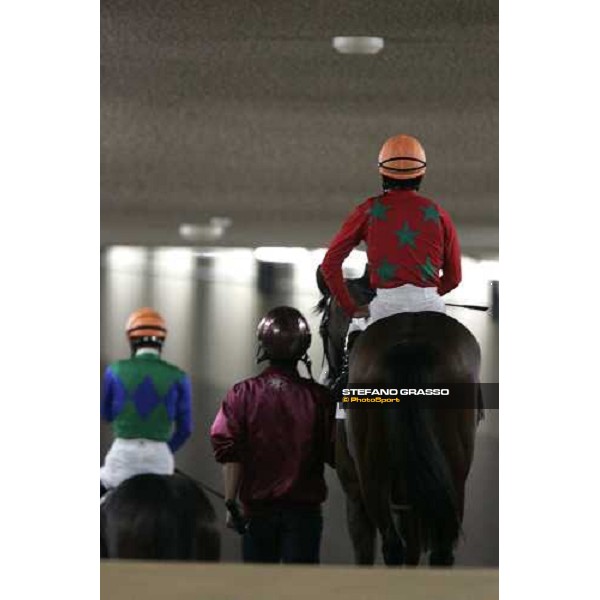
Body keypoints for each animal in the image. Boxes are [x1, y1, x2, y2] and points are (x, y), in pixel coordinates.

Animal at [318, 268, 482, 568]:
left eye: (323, 328)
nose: (330, 378)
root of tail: (409, 345)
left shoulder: (354, 492)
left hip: (372, 477)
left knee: (393, 546)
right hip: (452, 471)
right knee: (440, 550)